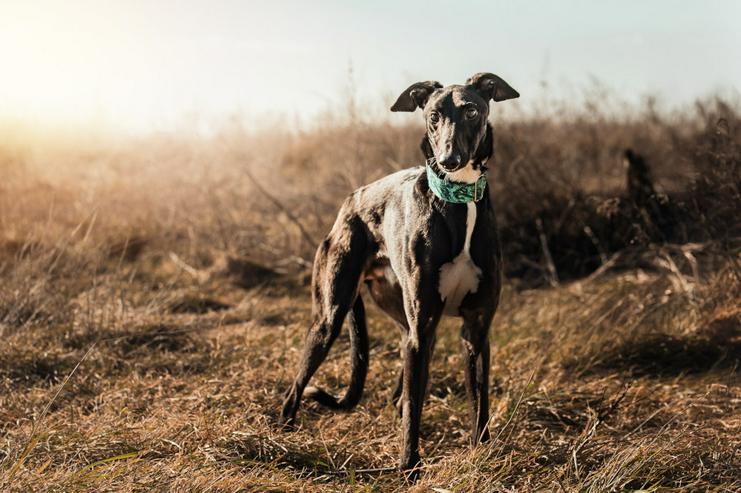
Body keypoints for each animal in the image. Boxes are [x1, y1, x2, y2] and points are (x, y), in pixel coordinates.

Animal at [280, 72, 516, 472]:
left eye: (471, 110)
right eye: (434, 114)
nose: (449, 160)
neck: (458, 202)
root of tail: (351, 200)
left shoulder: (477, 329)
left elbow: (479, 404)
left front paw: (483, 454)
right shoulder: (422, 329)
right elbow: (414, 414)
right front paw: (408, 468)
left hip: (407, 322)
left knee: (404, 388)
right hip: (331, 316)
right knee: (297, 386)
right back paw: (280, 433)